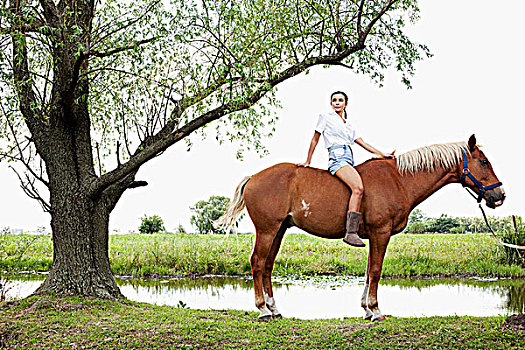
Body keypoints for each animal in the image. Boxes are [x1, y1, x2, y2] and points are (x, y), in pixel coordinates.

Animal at [216, 135, 504, 322]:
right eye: (483, 162)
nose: (499, 195)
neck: (398, 180)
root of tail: (254, 177)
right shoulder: (381, 233)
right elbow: (375, 271)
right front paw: (375, 311)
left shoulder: (375, 236)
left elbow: (367, 272)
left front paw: (366, 308)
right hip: (267, 230)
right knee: (257, 263)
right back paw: (263, 310)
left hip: (279, 230)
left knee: (267, 265)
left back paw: (274, 309)